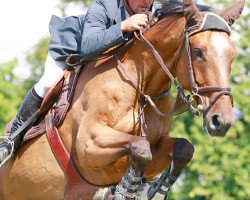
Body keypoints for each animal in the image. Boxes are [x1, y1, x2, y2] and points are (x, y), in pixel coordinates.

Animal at [0, 0, 244, 199]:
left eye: (232, 55)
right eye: (198, 52)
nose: (221, 121)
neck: (141, 86)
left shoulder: (159, 144)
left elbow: (183, 148)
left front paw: (152, 191)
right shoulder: (88, 146)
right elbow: (140, 147)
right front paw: (127, 189)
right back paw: (6, 147)